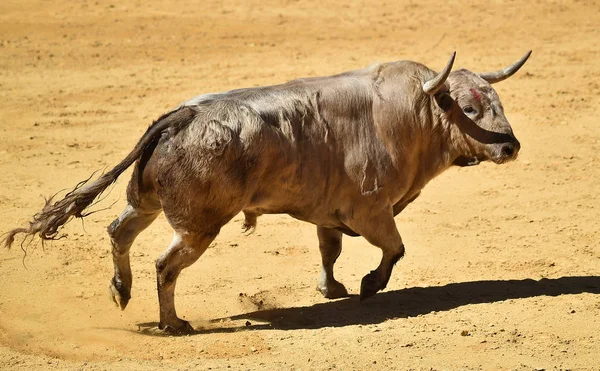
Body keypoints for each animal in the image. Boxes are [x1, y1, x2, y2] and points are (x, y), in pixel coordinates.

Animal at [3, 51, 528, 334]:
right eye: (468, 108)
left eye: (497, 101)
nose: (510, 146)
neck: (415, 115)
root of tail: (181, 115)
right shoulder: (371, 209)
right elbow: (394, 250)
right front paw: (367, 285)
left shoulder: (329, 211)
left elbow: (329, 250)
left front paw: (332, 288)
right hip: (198, 226)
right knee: (166, 265)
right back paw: (173, 324)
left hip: (147, 201)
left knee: (120, 232)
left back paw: (121, 290)